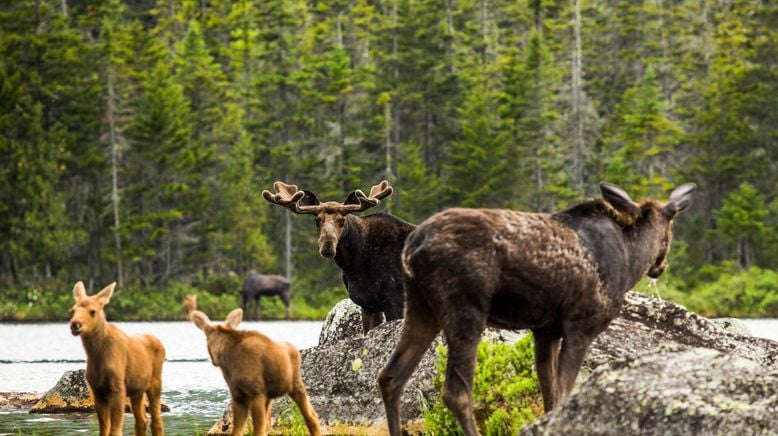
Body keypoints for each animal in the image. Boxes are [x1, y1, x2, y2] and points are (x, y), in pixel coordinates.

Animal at [69, 282, 167, 434]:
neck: (96, 354)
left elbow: (115, 430)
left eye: (93, 311)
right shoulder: (97, 390)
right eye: (72, 310)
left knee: (157, 422)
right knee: (142, 420)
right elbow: (104, 430)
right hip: (137, 390)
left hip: (155, 384)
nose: (75, 324)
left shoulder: (118, 388)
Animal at [191, 308, 322, 434]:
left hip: (296, 384)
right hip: (269, 396)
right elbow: (237, 430)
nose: (214, 360)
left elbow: (258, 429)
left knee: (312, 416)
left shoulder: (256, 393)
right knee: (269, 423)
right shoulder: (238, 395)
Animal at [262, 179, 418, 332]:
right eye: (317, 220)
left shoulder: (395, 301)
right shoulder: (368, 304)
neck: (356, 265)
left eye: (342, 220)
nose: (328, 246)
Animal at [378, 182, 696, 434]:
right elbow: (564, 390)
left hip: (420, 308)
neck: (631, 259)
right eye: (672, 225)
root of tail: (412, 246)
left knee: (390, 377)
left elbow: (549, 394)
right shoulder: (581, 325)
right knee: (456, 391)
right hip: (465, 309)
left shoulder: (545, 331)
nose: (661, 266)